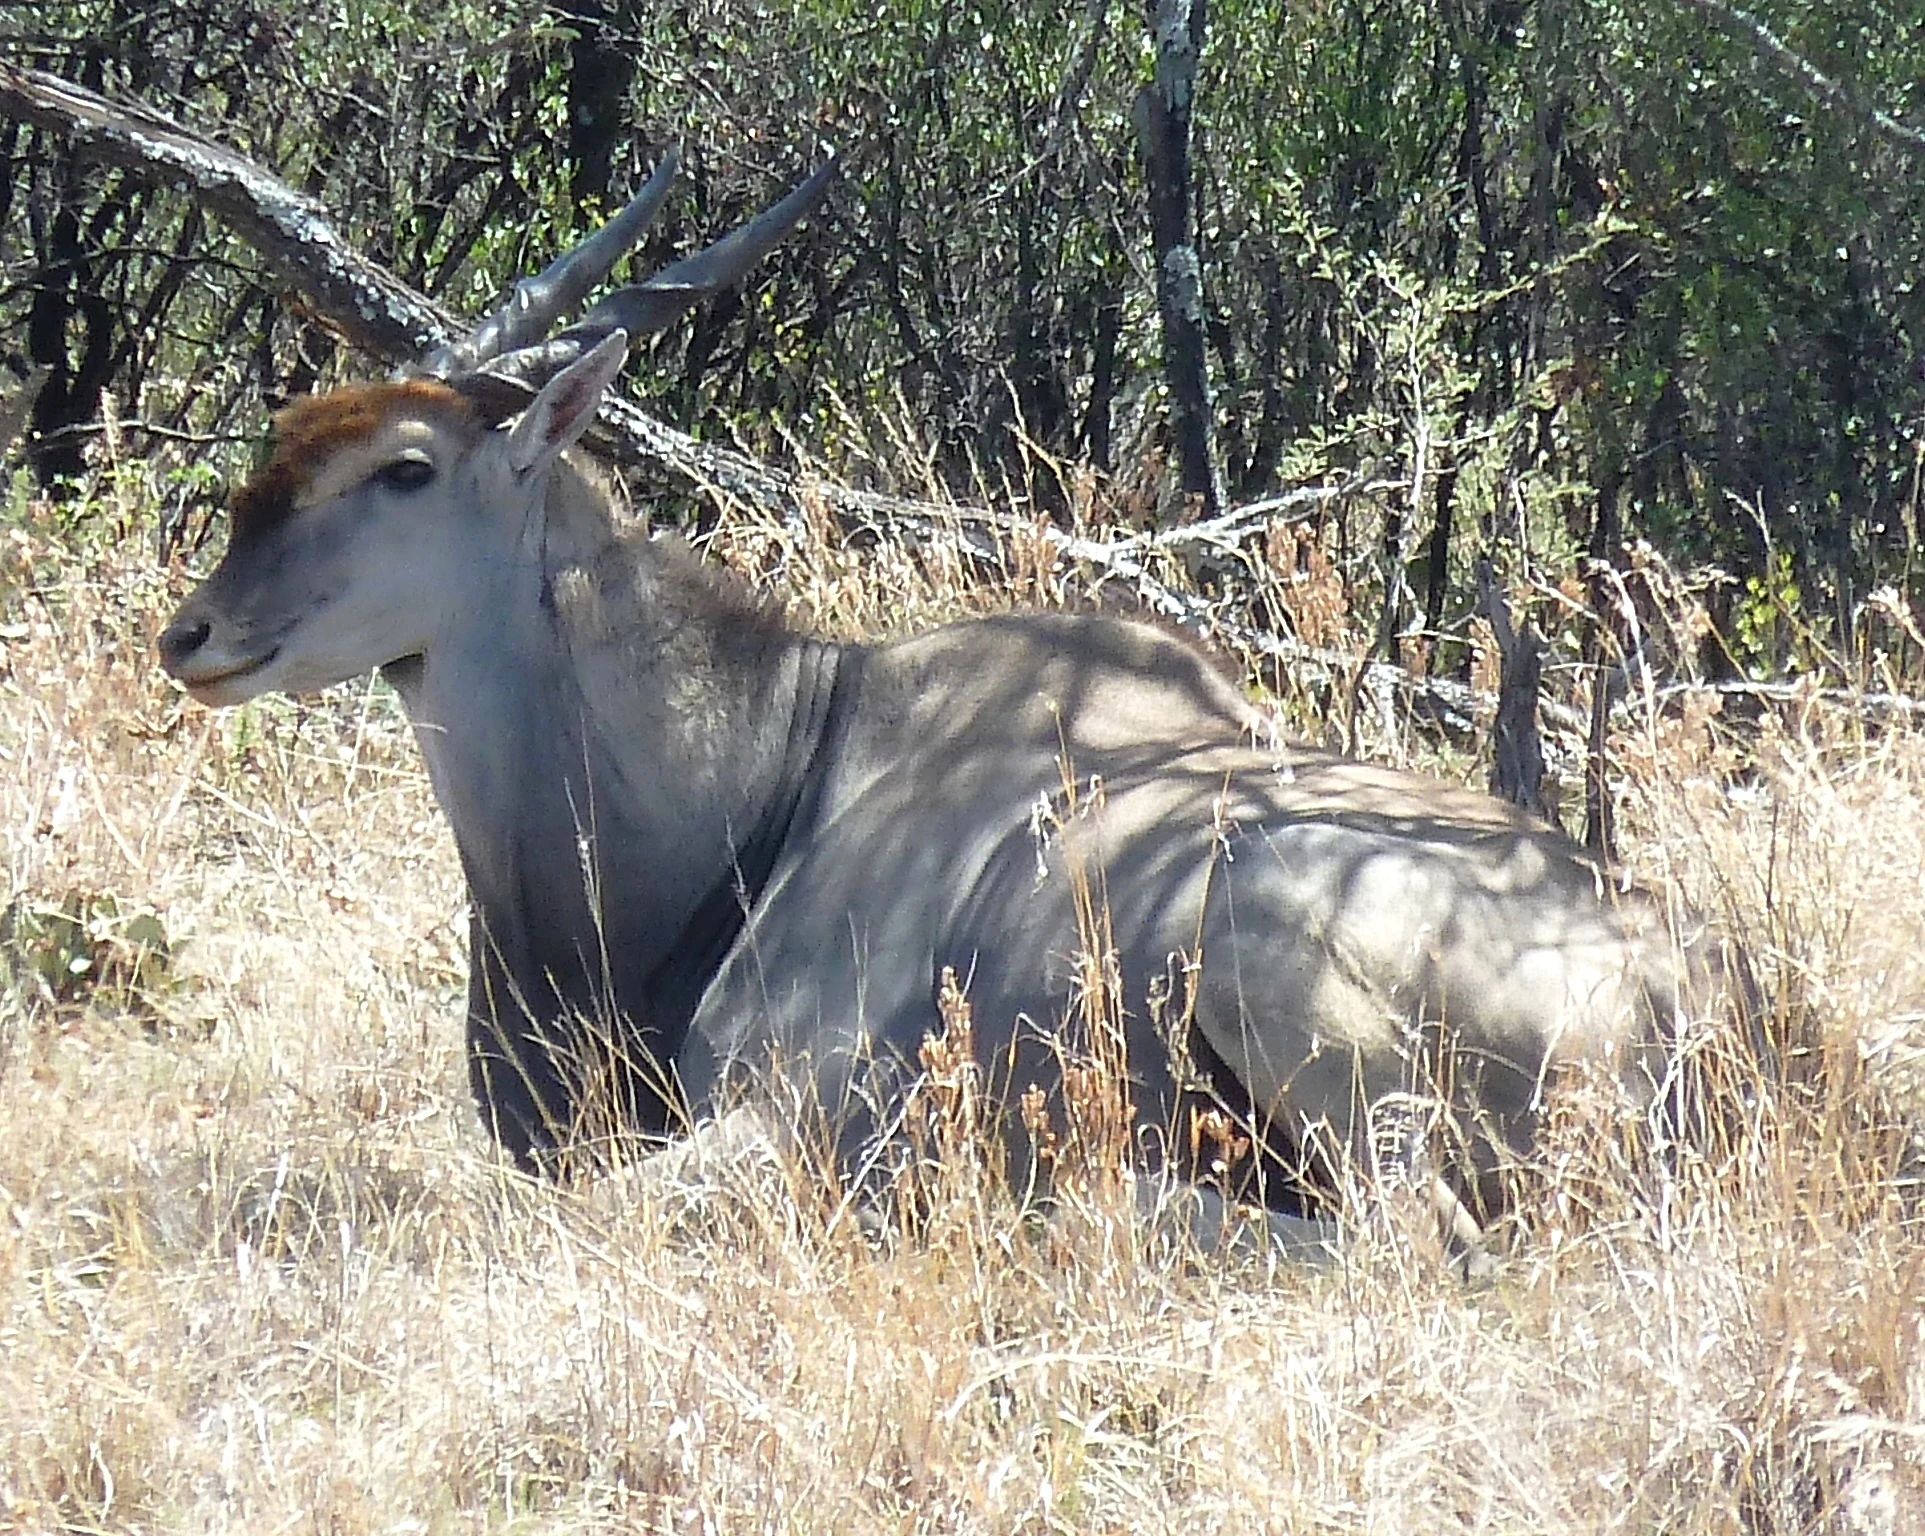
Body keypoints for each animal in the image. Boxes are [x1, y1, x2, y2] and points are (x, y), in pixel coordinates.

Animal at [159, 149, 1743, 1252]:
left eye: (403, 470)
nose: (193, 635)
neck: (783, 768)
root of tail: (1685, 1001)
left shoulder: (777, 1126)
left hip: (1276, 978)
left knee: (1410, 1243)